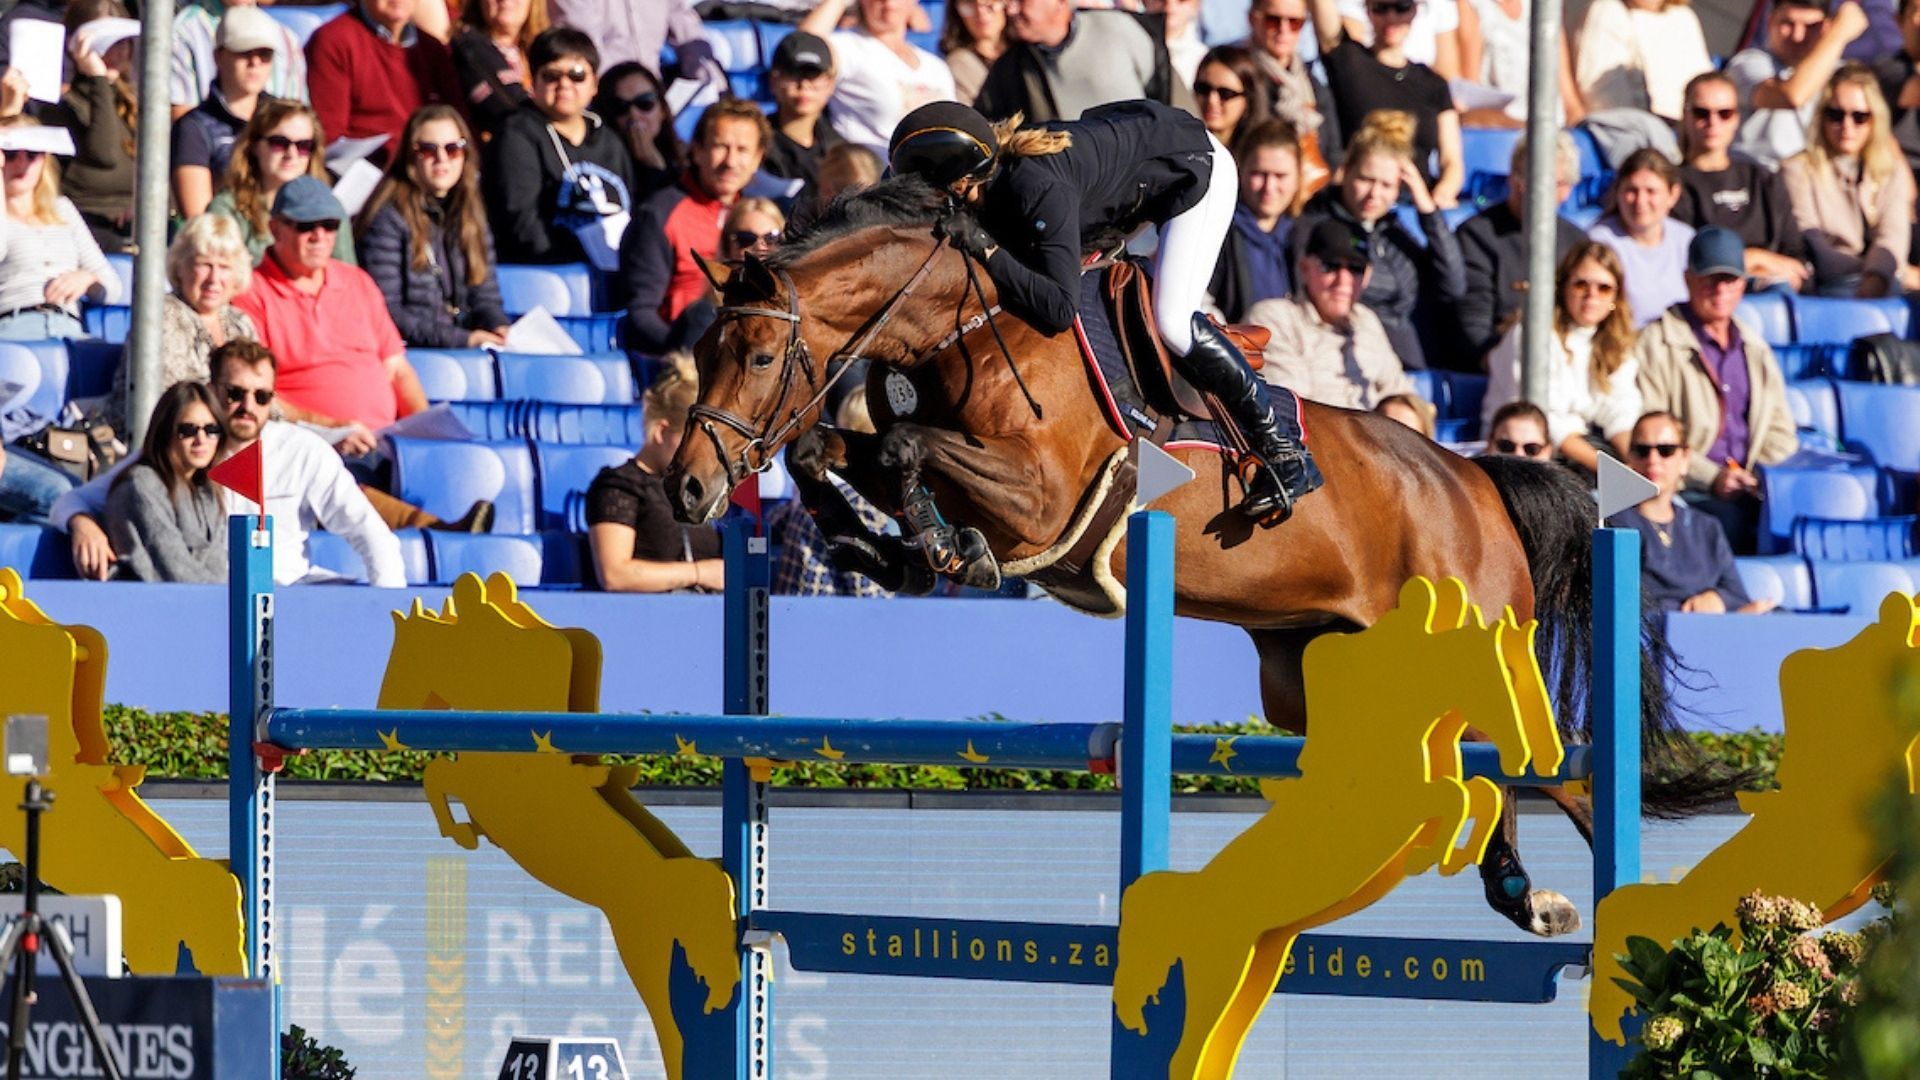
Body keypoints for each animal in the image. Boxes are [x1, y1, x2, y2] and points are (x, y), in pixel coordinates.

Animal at [664, 176, 1732, 938]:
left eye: (759, 358)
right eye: (705, 355)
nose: (689, 491)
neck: (977, 321)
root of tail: (1474, 478)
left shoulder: (1040, 498)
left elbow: (899, 450)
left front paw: (936, 547)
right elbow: (841, 452)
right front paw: (892, 550)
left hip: (1462, 646)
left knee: (1538, 761)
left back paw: (1570, 903)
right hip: (1320, 676)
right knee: (1464, 769)